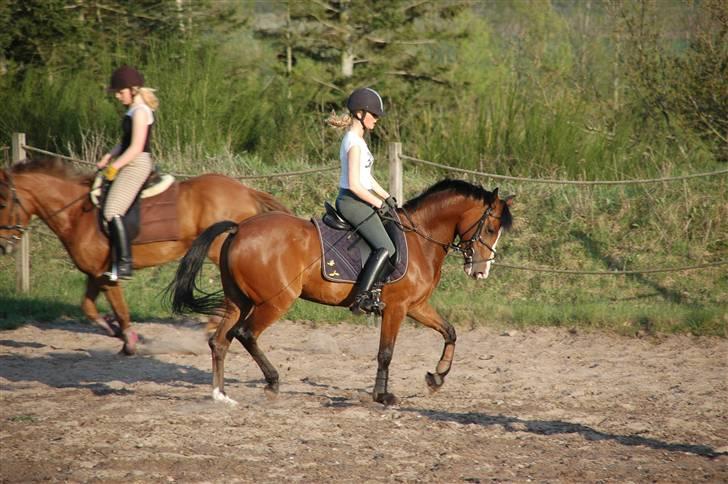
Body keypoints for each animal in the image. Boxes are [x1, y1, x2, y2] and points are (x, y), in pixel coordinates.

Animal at [0, 157, 290, 354]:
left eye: (2, 203)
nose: (4, 246)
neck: (77, 214)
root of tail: (246, 190)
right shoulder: (95, 274)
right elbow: (89, 308)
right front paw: (112, 330)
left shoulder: (107, 276)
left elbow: (121, 310)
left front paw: (129, 341)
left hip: (220, 250)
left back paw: (211, 324)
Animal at [169, 178, 514, 405]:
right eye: (490, 229)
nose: (481, 272)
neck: (421, 238)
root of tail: (239, 228)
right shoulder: (397, 308)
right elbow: (386, 353)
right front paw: (383, 395)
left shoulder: (416, 306)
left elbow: (450, 332)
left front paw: (436, 377)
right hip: (275, 301)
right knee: (245, 334)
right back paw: (272, 382)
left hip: (237, 300)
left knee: (220, 340)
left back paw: (220, 395)